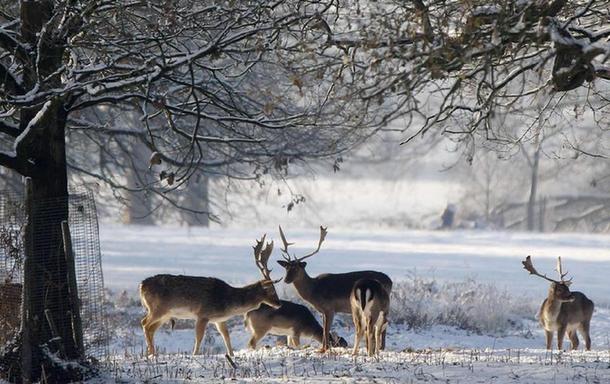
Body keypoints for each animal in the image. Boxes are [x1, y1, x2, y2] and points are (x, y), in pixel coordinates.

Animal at [139, 234, 280, 356]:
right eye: (272, 290)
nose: (279, 304)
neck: (228, 302)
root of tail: (141, 285)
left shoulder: (219, 320)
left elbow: (226, 336)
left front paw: (231, 355)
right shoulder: (203, 314)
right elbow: (199, 338)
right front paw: (195, 354)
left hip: (166, 314)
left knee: (151, 328)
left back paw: (152, 353)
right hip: (157, 308)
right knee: (144, 323)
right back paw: (151, 353)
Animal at [274, 225, 392, 354]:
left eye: (296, 268)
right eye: (286, 268)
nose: (286, 280)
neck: (314, 290)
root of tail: (390, 280)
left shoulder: (330, 308)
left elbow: (326, 329)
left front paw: (324, 349)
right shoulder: (323, 311)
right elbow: (324, 329)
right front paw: (322, 348)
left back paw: (379, 348)